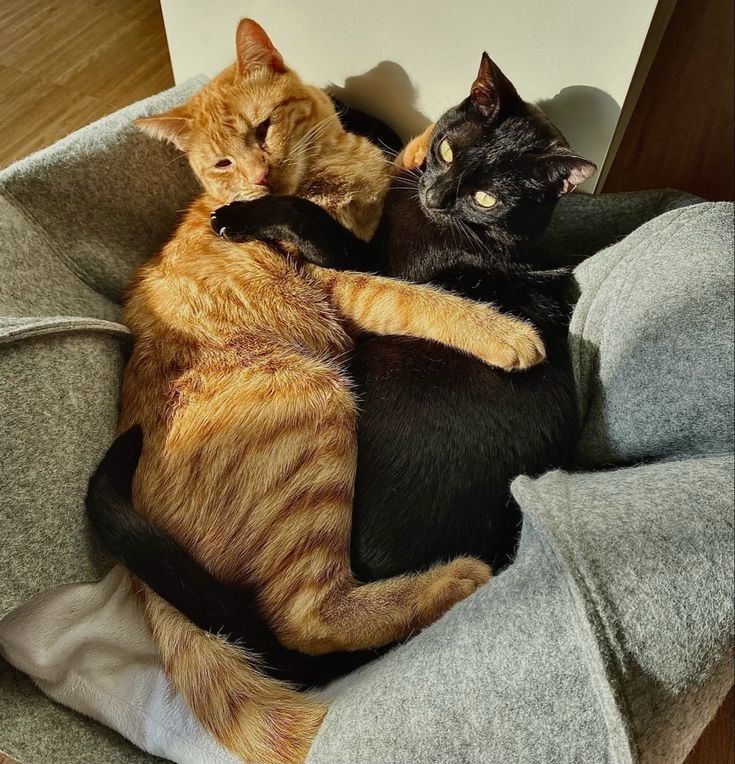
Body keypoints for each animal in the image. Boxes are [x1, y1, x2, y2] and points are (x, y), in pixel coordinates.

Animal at [86, 52, 596, 688]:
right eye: (451, 152)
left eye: (485, 198)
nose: (437, 194)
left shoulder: (361, 261)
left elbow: (381, 270)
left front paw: (510, 337)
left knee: (305, 620)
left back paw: (458, 579)